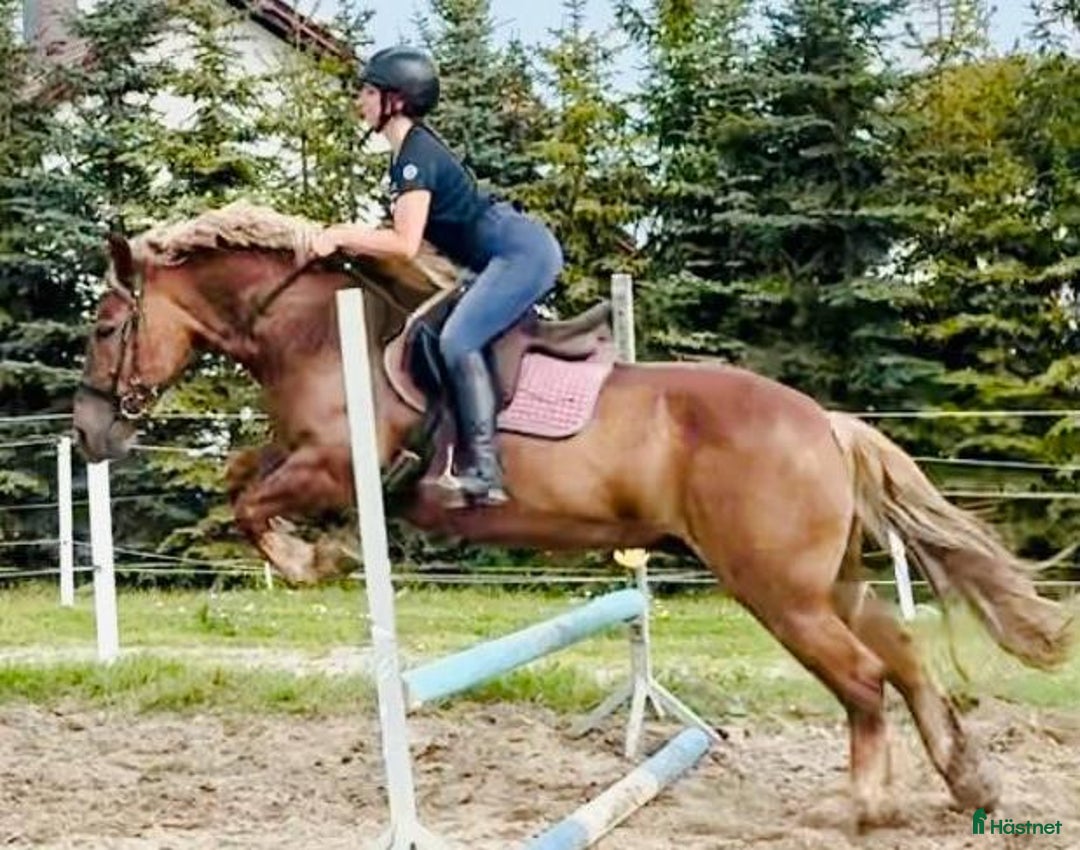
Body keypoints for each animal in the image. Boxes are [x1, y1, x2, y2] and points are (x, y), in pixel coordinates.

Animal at [72, 201, 1071, 829]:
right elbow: (241, 475)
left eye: (104, 326)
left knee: (864, 679)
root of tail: (823, 421)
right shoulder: (302, 455)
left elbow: (252, 500)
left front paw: (315, 559)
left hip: (775, 588)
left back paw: (859, 806)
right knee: (901, 656)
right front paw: (318, 551)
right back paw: (970, 782)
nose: (86, 433)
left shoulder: (335, 462)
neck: (316, 329)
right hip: (826, 581)